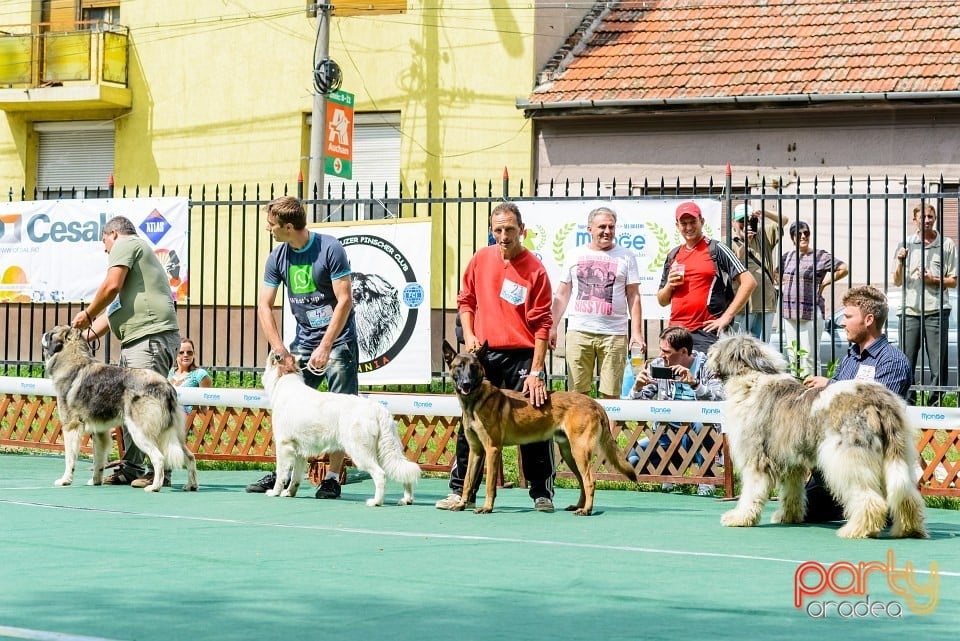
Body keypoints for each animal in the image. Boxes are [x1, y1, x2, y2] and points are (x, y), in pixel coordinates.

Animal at [260, 350, 418, 504]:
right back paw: (407, 499)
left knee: (380, 475)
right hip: (385, 452)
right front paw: (289, 493)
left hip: (361, 453)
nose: (275, 352)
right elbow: (295, 478)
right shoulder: (300, 453)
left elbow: (281, 473)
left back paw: (376, 501)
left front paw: (275, 492)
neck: (285, 381)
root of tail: (378, 409)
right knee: (404, 471)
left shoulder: (283, 446)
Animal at [704, 332, 924, 536]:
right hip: (898, 455)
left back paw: (856, 530)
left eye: (719, 347)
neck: (751, 380)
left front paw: (738, 518)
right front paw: (788, 517)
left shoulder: (756, 458)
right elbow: (792, 492)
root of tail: (880, 401)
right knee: (907, 496)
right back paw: (908, 529)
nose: (708, 353)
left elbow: (751, 491)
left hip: (848, 458)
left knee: (870, 499)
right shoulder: (792, 463)